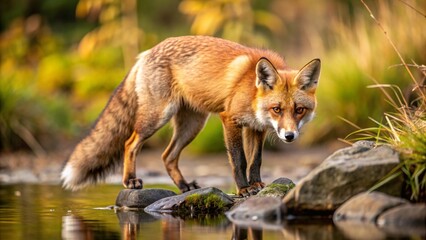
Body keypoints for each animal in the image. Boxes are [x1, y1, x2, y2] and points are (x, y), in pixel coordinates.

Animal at [60, 36, 320, 197]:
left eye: (299, 110)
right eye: (277, 109)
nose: (289, 136)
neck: (252, 91)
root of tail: (146, 52)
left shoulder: (256, 128)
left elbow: (256, 160)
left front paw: (256, 185)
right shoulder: (230, 120)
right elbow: (239, 161)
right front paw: (243, 189)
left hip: (192, 125)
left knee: (167, 155)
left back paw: (184, 186)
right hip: (157, 118)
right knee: (130, 143)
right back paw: (130, 180)